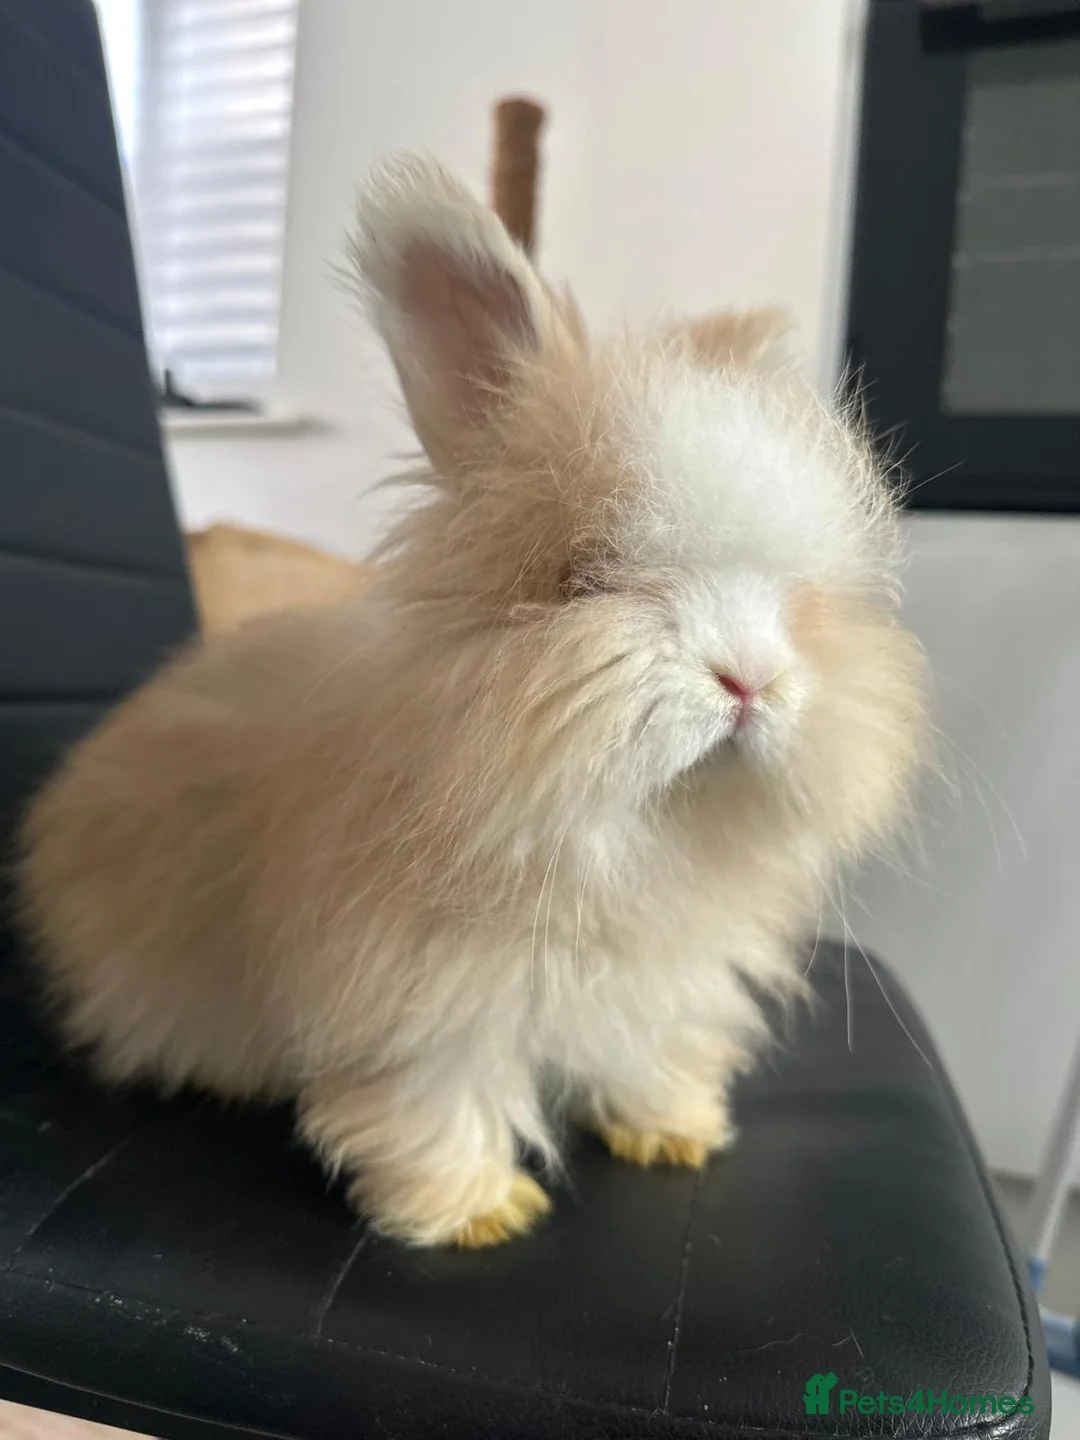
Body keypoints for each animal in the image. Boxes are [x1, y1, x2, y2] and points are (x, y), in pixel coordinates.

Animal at [18, 155, 924, 1248]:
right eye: (588, 577)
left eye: (799, 599)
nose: (749, 679)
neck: (628, 839)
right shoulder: (418, 1000)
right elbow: (439, 1094)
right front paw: (477, 1213)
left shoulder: (663, 983)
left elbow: (650, 1052)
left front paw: (676, 1134)